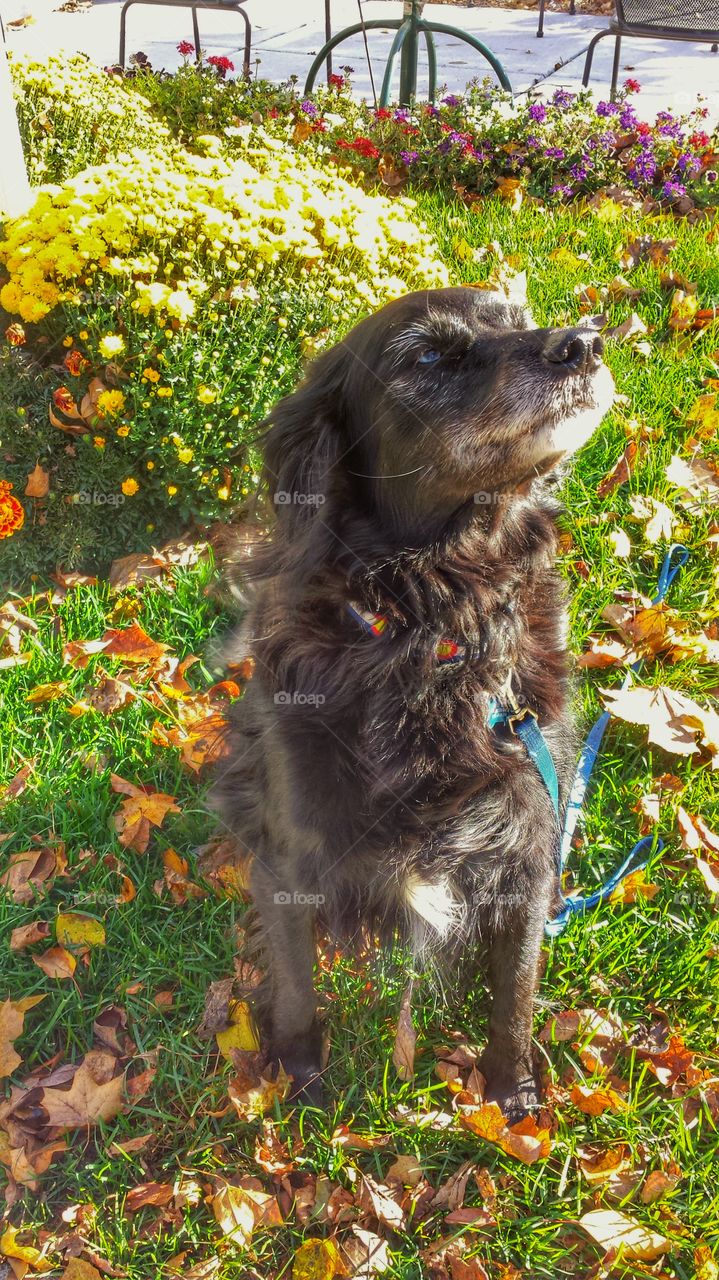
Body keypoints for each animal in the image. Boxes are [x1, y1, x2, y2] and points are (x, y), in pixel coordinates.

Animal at [212, 285, 608, 1116]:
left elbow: (514, 994)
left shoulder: (528, 852)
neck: (433, 628)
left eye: (520, 317)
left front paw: (511, 1093)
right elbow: (296, 991)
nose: (584, 343)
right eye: (426, 355)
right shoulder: (289, 862)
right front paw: (302, 1080)